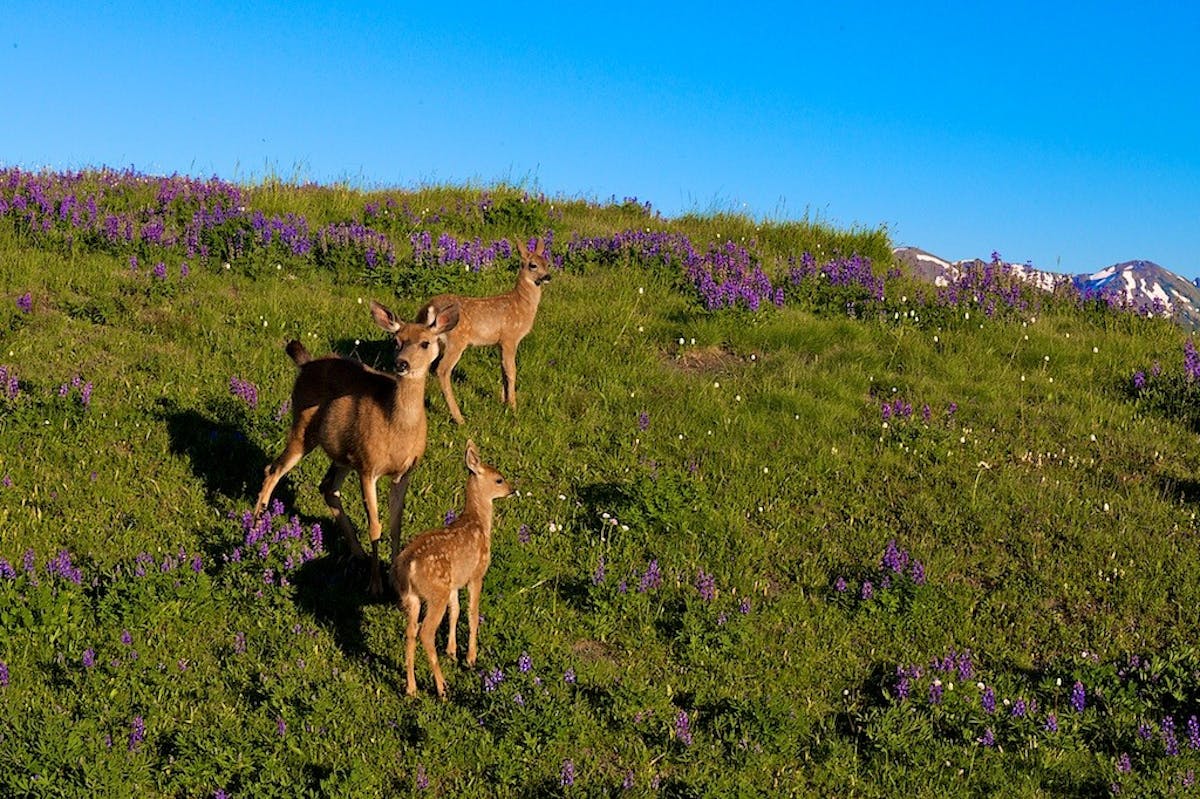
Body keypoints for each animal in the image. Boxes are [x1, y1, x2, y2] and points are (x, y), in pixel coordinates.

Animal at [253, 297, 458, 590]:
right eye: (396, 341)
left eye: (425, 343)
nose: (401, 364)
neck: (396, 428)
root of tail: (306, 364)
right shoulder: (368, 467)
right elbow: (375, 525)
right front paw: (375, 585)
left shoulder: (404, 472)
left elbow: (395, 526)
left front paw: (394, 579)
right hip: (304, 427)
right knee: (274, 469)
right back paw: (256, 524)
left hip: (343, 454)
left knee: (327, 487)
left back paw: (357, 552)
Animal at [388, 436, 511, 695]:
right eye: (499, 479)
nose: (512, 489)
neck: (478, 522)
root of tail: (408, 565)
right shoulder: (476, 574)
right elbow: (472, 612)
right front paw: (470, 657)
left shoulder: (454, 582)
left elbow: (456, 611)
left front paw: (452, 652)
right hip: (436, 593)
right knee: (425, 632)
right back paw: (441, 687)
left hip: (412, 596)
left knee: (410, 632)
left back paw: (411, 688)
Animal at [417, 235, 552, 422]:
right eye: (533, 265)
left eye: (547, 263)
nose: (548, 276)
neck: (520, 304)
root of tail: (431, 307)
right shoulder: (510, 338)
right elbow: (511, 371)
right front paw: (513, 407)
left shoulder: (499, 342)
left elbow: (502, 369)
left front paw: (503, 401)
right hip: (456, 340)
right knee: (442, 370)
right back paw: (459, 418)